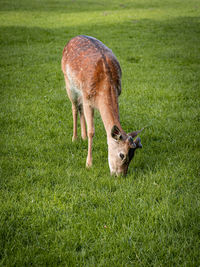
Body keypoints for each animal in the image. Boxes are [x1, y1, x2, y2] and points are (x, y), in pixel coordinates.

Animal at [61, 36, 142, 178]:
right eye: (122, 155)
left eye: (132, 156)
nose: (120, 175)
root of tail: (72, 39)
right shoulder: (88, 99)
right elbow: (91, 131)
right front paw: (88, 164)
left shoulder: (116, 94)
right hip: (69, 83)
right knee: (74, 107)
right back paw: (75, 138)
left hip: (80, 91)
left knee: (80, 108)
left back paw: (82, 137)